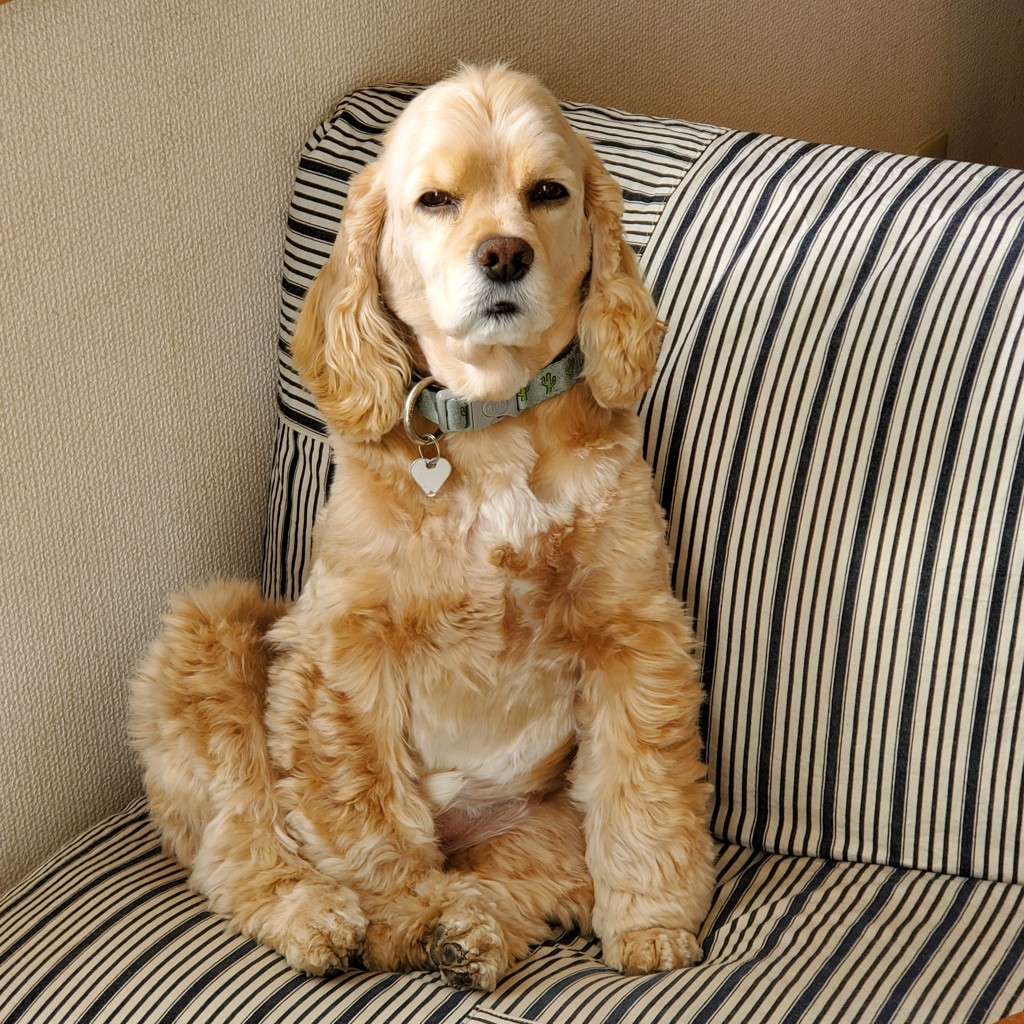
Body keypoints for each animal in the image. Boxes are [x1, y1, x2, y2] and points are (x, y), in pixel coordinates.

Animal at [130, 63, 716, 991]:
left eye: (548, 193)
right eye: (436, 200)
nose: (504, 253)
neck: (490, 422)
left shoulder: (635, 631)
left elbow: (645, 790)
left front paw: (652, 925)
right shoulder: (345, 650)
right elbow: (366, 809)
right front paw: (395, 916)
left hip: (540, 821)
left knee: (529, 875)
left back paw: (470, 930)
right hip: (214, 634)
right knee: (243, 849)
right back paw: (328, 919)